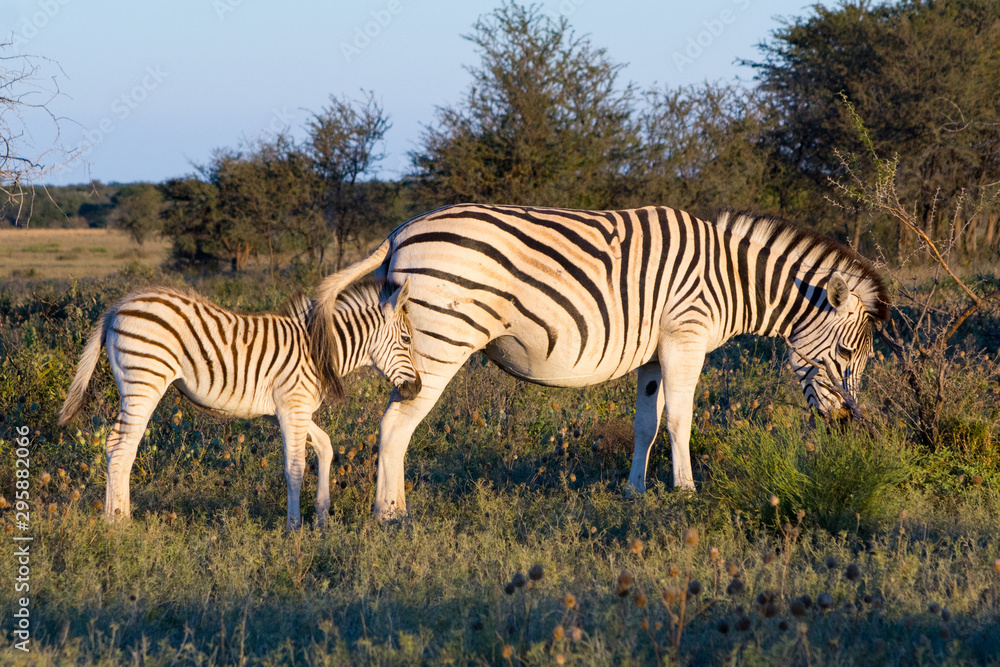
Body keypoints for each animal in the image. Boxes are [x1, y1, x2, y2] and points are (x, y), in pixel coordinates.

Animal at [59, 280, 420, 529]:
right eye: (406, 340)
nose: (416, 388)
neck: (320, 350)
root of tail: (118, 305)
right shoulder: (293, 406)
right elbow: (295, 467)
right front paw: (294, 527)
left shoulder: (289, 410)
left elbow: (326, 447)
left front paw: (322, 519)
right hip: (144, 381)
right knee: (121, 447)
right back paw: (120, 521)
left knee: (117, 447)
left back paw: (115, 519)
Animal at [312, 204, 890, 519]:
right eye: (846, 354)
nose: (848, 425)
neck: (731, 278)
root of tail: (399, 232)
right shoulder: (685, 336)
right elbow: (681, 420)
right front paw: (685, 493)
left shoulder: (655, 352)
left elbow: (646, 423)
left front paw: (635, 493)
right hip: (439, 341)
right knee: (395, 425)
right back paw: (391, 515)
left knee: (393, 424)